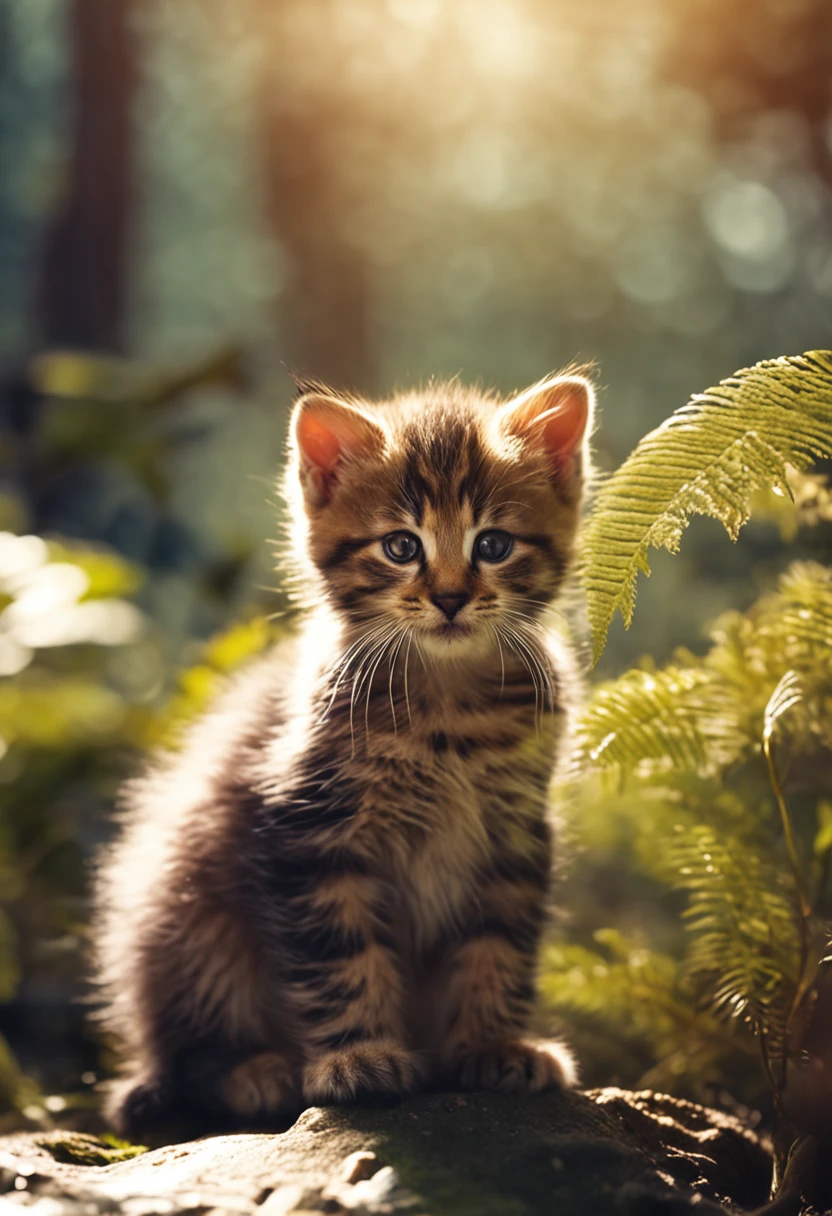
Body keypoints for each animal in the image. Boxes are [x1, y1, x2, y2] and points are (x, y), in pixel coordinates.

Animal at [92, 374, 591, 1133]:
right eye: (401, 547)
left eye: (495, 544)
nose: (451, 598)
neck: (447, 704)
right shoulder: (309, 827)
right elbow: (341, 954)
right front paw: (359, 1056)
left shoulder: (516, 831)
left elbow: (496, 944)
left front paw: (491, 1044)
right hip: (186, 907)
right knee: (186, 1058)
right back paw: (254, 1071)